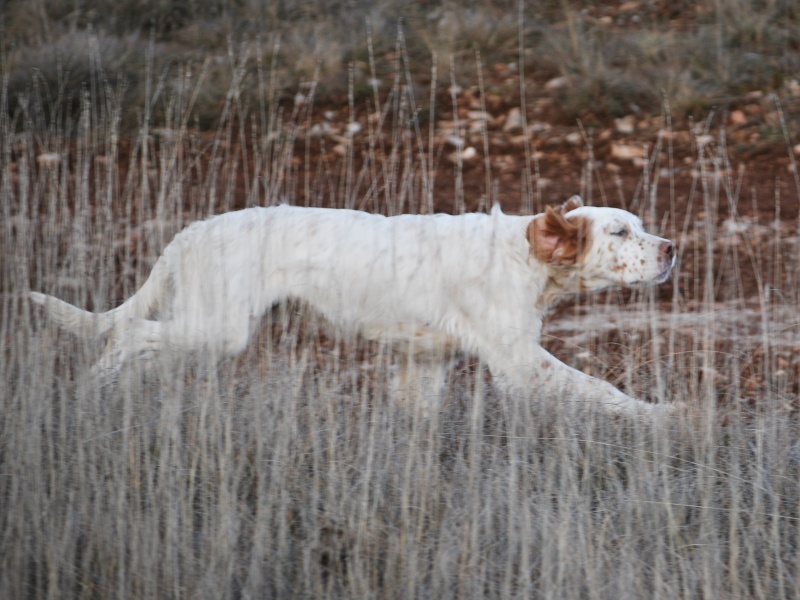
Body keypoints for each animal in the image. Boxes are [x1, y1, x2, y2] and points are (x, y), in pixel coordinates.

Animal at [34, 196, 680, 412]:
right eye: (619, 232)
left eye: (640, 225)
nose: (673, 248)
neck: (522, 256)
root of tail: (189, 233)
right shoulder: (519, 361)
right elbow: (602, 389)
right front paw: (668, 418)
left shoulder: (424, 365)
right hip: (217, 327)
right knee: (127, 335)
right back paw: (89, 390)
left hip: (202, 328)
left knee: (140, 349)